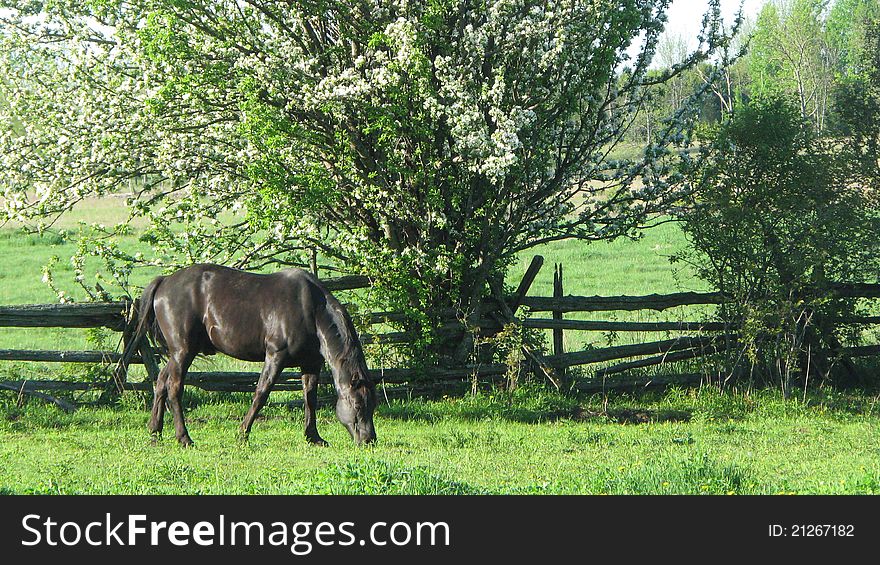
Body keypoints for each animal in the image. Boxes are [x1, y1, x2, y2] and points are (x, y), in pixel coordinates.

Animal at [133, 264, 374, 446]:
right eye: (357, 405)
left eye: (373, 404)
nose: (369, 440)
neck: (310, 308)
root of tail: (164, 281)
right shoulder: (275, 356)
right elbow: (261, 393)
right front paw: (242, 433)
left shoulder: (311, 363)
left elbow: (310, 399)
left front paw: (313, 437)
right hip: (183, 352)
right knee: (174, 388)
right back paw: (184, 437)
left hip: (177, 354)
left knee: (161, 381)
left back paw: (155, 431)